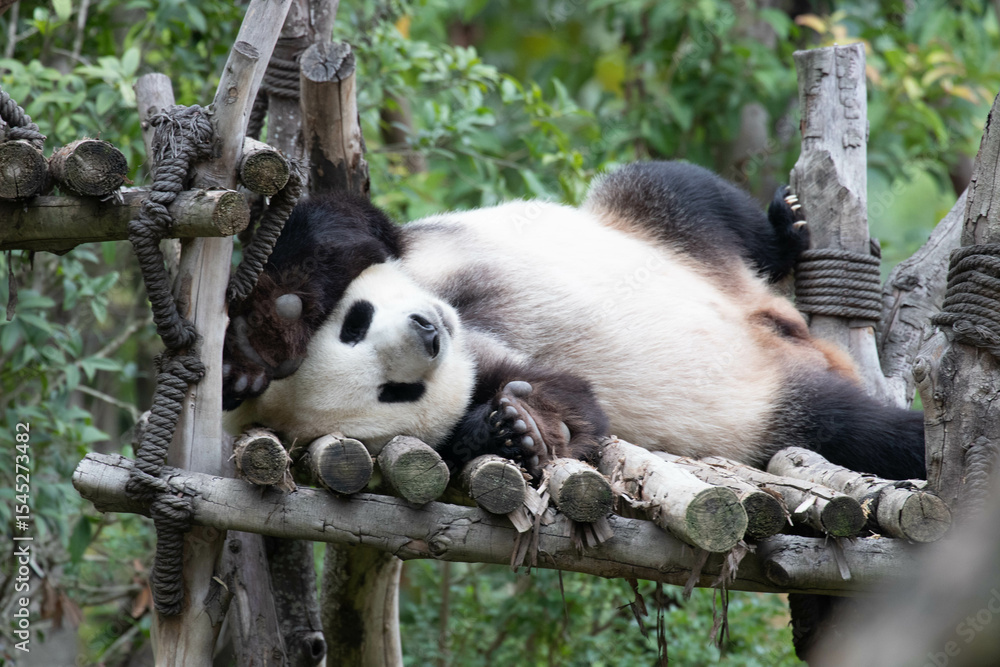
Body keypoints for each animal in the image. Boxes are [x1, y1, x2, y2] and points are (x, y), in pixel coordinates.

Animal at [221, 161, 925, 482]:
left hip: (657, 225)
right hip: (769, 412)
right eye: (395, 392)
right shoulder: (484, 367)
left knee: (685, 191)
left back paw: (787, 226)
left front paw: (262, 340)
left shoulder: (416, 246)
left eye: (356, 322)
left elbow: (338, 223)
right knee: (858, 432)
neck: (464, 316)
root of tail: (780, 324)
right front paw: (520, 431)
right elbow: (571, 403)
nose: (428, 334)